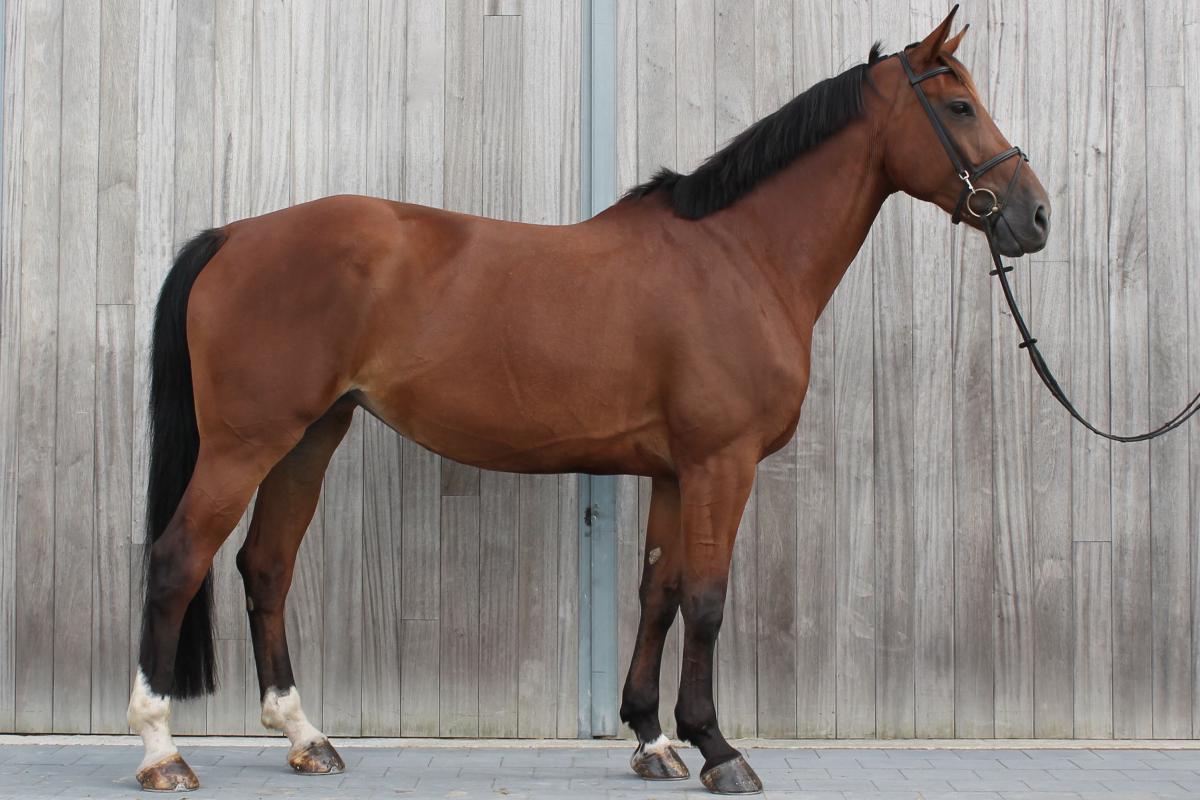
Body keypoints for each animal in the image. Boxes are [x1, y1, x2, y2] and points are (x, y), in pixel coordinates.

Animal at [126, 6, 1048, 794]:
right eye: (960, 105)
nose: (1034, 216)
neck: (740, 256)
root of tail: (235, 236)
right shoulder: (722, 465)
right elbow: (707, 599)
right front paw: (718, 748)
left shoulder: (676, 472)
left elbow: (659, 593)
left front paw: (652, 738)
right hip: (246, 443)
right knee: (178, 559)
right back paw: (162, 750)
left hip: (310, 436)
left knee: (265, 566)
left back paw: (304, 736)